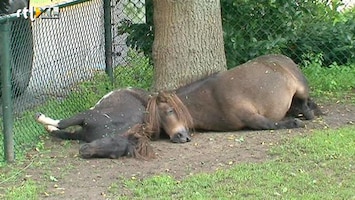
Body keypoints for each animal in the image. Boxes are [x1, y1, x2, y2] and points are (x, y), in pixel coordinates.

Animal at [146, 54, 324, 143]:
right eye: (157, 121)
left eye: (170, 111)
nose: (178, 137)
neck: (211, 98)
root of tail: (284, 58)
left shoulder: (251, 116)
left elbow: (267, 124)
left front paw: (294, 123)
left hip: (301, 89)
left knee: (305, 103)